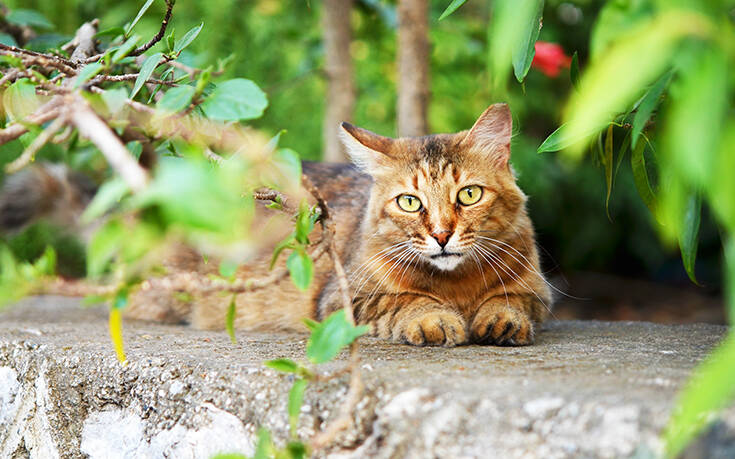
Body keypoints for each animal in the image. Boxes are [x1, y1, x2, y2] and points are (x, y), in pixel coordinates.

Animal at [0, 104, 552, 346]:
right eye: (410, 202)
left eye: (468, 194)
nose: (440, 234)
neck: (457, 283)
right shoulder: (344, 298)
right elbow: (408, 303)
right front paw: (434, 319)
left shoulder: (536, 290)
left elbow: (513, 301)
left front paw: (498, 317)